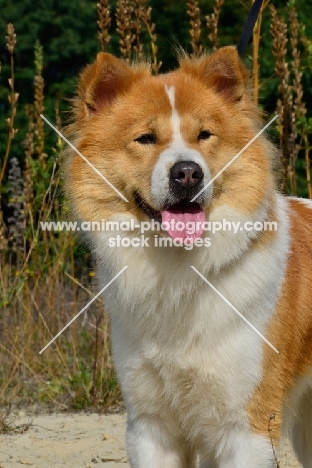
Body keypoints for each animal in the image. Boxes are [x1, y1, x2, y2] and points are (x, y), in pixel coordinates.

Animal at [64, 46, 312, 468]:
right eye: (145, 138)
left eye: (204, 136)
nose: (187, 173)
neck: (180, 272)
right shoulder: (150, 425)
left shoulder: (246, 428)